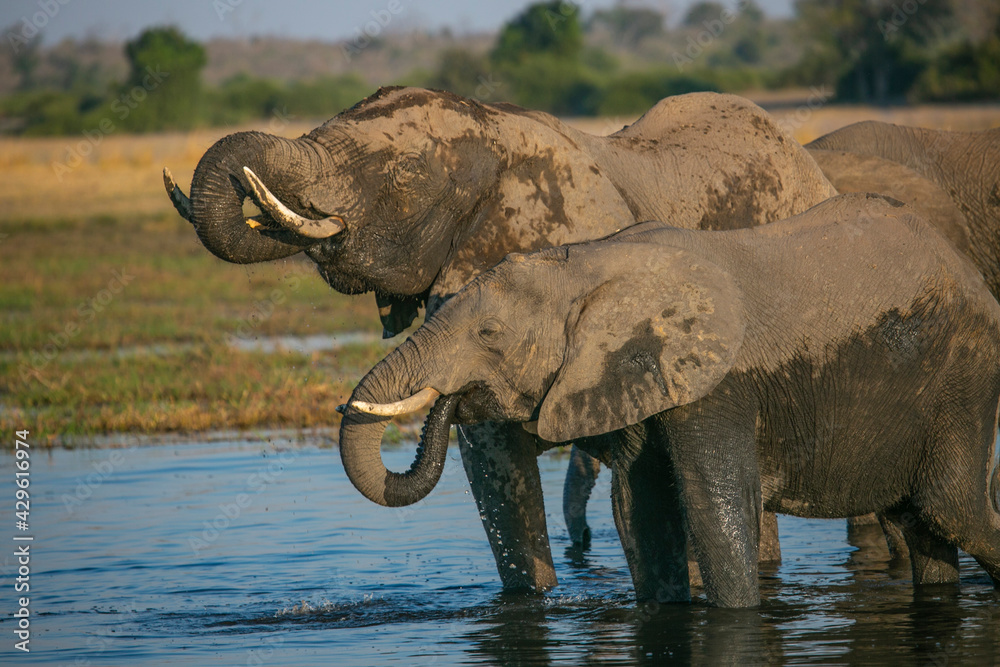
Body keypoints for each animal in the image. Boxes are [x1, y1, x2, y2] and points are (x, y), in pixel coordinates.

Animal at [338, 192, 1000, 608]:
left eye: (489, 334)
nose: (451, 401)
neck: (586, 264)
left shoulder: (715, 386)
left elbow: (715, 510)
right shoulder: (638, 382)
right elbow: (641, 510)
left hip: (966, 377)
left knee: (951, 508)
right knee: (921, 522)